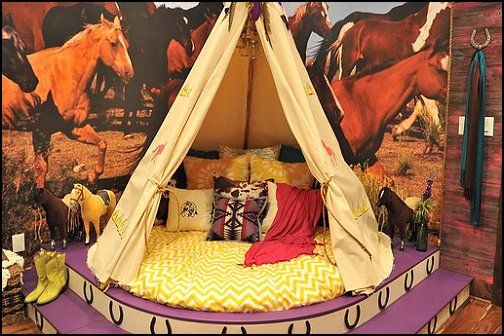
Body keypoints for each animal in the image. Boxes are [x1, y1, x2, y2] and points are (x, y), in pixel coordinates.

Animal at [1, 17, 134, 188]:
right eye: (113, 43)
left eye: (127, 44)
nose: (129, 74)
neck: (66, 75)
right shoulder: (40, 131)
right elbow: (41, 169)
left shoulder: (75, 127)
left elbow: (102, 143)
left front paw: (92, 177)